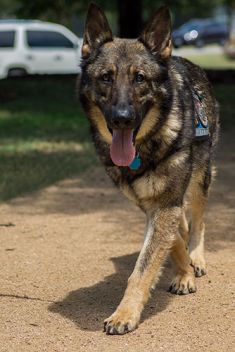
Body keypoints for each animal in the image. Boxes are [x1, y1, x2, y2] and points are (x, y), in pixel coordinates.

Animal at [78, 3, 219, 336]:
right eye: (106, 77)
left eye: (139, 78)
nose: (122, 118)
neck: (146, 146)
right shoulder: (150, 204)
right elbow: (170, 240)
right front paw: (182, 272)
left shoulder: (165, 203)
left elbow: (144, 267)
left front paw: (124, 314)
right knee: (183, 225)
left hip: (199, 181)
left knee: (198, 220)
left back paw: (197, 258)